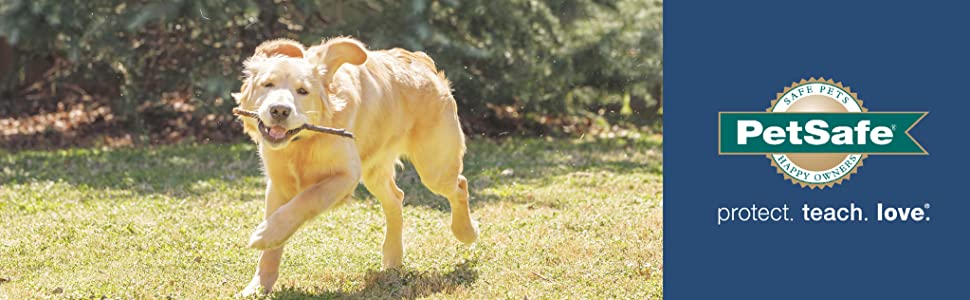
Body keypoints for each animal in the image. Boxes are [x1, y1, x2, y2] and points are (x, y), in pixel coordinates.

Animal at [233, 36, 478, 294]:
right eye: (267, 84)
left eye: (302, 91)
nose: (279, 110)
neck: (302, 142)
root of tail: (421, 60)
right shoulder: (278, 184)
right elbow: (275, 235)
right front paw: (259, 285)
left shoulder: (346, 176)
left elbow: (307, 200)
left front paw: (263, 235)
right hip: (375, 171)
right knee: (396, 198)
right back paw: (393, 258)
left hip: (434, 167)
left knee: (460, 185)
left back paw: (466, 231)